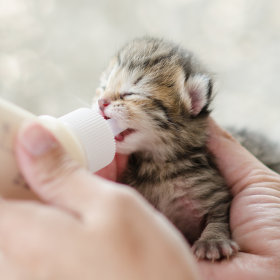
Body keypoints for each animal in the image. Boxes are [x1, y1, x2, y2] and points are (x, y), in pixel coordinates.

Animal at [93, 36, 238, 260]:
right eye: (103, 86)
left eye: (131, 93)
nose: (101, 102)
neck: (157, 166)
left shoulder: (215, 190)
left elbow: (220, 215)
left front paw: (213, 240)